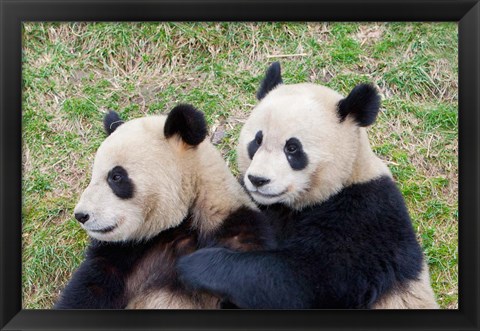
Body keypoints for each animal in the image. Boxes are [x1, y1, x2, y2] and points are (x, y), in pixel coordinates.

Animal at [54, 104, 272, 312]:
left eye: (116, 177)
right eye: (93, 176)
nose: (81, 215)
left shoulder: (236, 232)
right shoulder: (123, 253)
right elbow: (88, 291)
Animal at [176, 63, 438, 312]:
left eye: (292, 148)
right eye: (257, 141)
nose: (258, 180)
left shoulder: (366, 218)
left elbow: (303, 281)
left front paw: (196, 265)